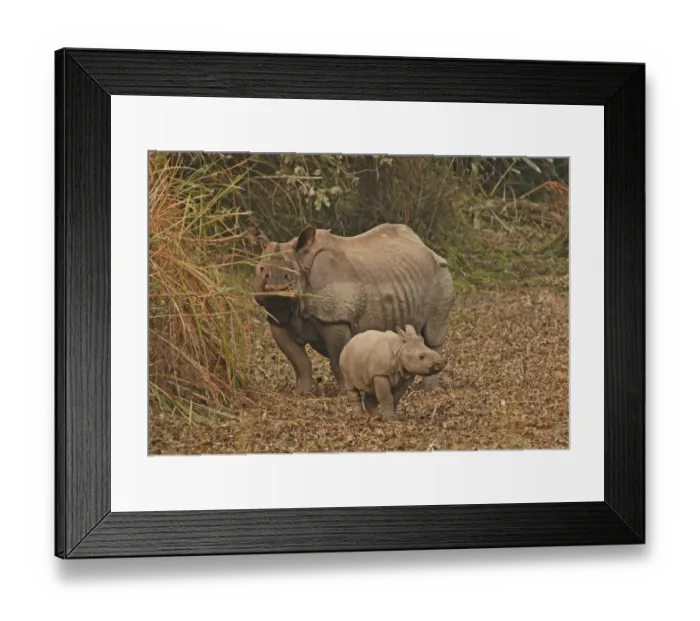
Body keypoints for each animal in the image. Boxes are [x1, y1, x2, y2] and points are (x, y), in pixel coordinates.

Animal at [252, 222, 455, 395]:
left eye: (291, 273)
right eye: (261, 270)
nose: (276, 288)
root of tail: (427, 247)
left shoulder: (336, 319)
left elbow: (337, 361)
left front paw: (344, 394)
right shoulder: (278, 320)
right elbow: (299, 362)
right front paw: (302, 394)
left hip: (441, 272)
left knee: (433, 334)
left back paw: (427, 390)